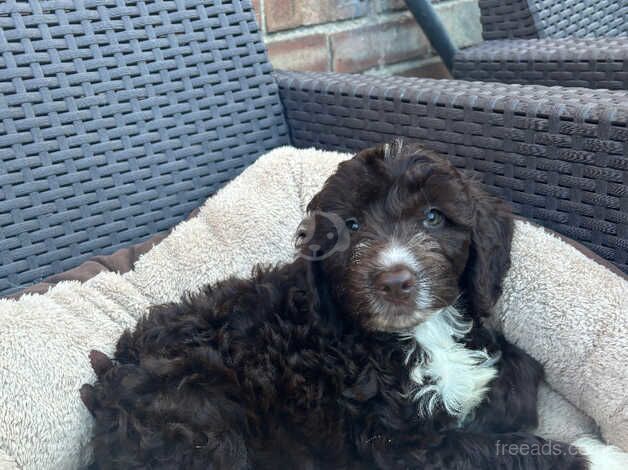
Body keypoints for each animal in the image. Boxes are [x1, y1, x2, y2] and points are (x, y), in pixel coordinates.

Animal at [81, 141, 592, 468]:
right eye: (350, 226)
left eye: (433, 217)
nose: (395, 281)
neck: (417, 334)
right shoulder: (397, 446)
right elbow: (492, 450)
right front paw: (592, 453)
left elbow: (517, 370)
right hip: (200, 424)